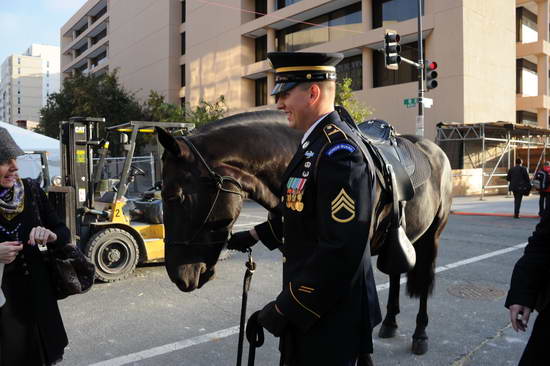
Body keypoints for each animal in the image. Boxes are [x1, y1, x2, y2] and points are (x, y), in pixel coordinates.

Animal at [157, 109, 454, 354]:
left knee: (423, 279)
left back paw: (420, 334)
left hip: (433, 236)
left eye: (175, 196)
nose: (178, 276)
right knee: (395, 272)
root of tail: (434, 149)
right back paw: (390, 322)